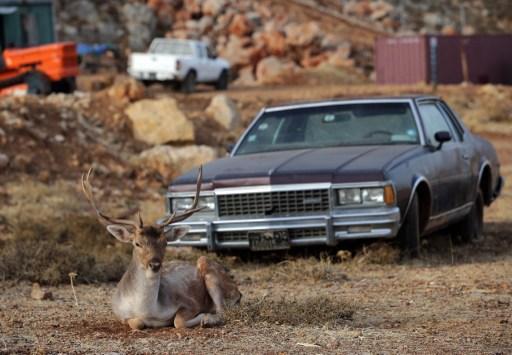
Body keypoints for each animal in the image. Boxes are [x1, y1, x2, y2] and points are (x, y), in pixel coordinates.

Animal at [81, 167, 242, 330]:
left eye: (165, 243)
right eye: (137, 243)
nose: (155, 264)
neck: (147, 310)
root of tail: (238, 291)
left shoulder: (189, 302)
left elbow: (178, 321)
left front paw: (203, 316)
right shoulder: (119, 314)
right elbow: (137, 323)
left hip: (211, 271)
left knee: (223, 310)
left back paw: (210, 318)